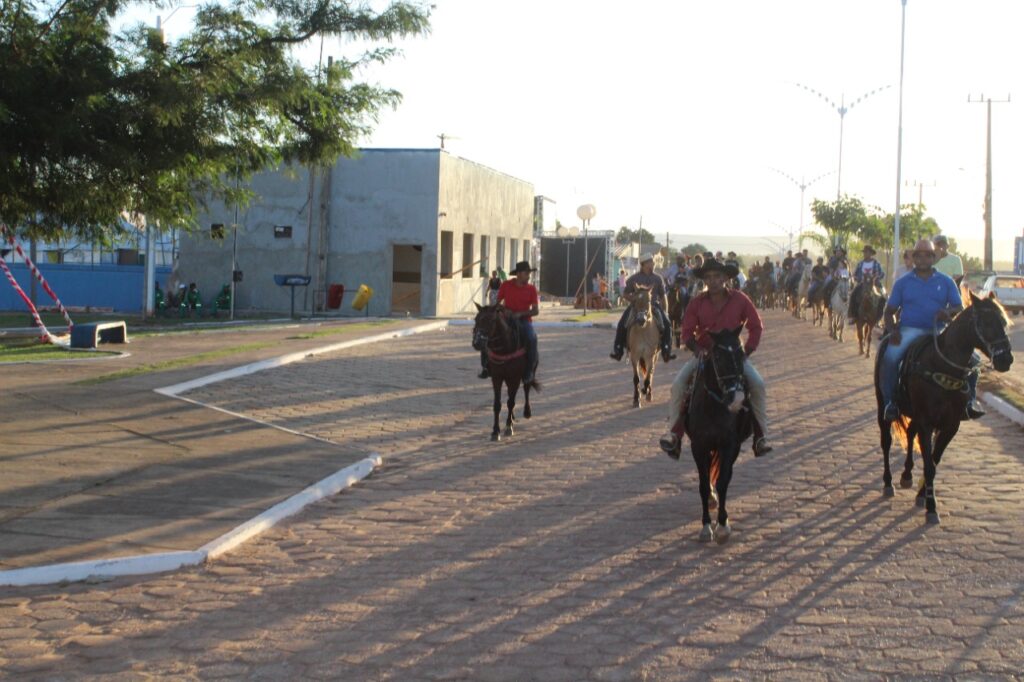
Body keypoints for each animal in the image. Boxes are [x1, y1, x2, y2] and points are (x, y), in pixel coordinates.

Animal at [472, 303, 540, 441]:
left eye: (491, 320)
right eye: (476, 319)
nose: (477, 343)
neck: (505, 348)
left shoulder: (515, 378)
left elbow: (511, 402)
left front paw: (508, 427)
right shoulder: (497, 377)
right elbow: (497, 405)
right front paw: (495, 431)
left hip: (527, 374)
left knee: (526, 388)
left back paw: (526, 412)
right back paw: (512, 417)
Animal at [683, 326, 753, 544]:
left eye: (741, 353)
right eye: (718, 357)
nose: (738, 398)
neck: (714, 406)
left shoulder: (730, 445)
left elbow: (723, 482)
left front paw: (722, 524)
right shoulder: (698, 446)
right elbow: (704, 485)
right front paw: (706, 526)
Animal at [874, 292, 1013, 523]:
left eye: (1003, 322)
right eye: (985, 323)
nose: (1006, 359)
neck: (942, 366)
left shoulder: (950, 425)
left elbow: (934, 461)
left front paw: (923, 496)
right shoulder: (927, 423)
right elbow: (929, 466)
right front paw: (931, 508)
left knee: (910, 433)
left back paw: (907, 475)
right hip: (882, 403)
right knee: (886, 440)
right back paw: (888, 482)